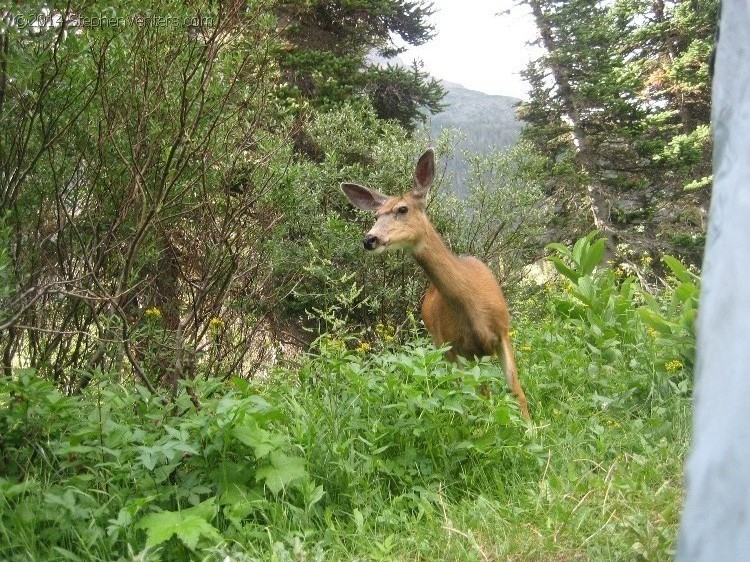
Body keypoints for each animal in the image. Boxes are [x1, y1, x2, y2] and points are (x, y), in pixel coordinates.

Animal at [344, 147, 532, 418]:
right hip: (442, 345)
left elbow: (516, 390)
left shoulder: (502, 333)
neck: (474, 308)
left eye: (402, 209)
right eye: (377, 215)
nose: (369, 239)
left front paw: (530, 426)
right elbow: (477, 394)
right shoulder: (459, 347)